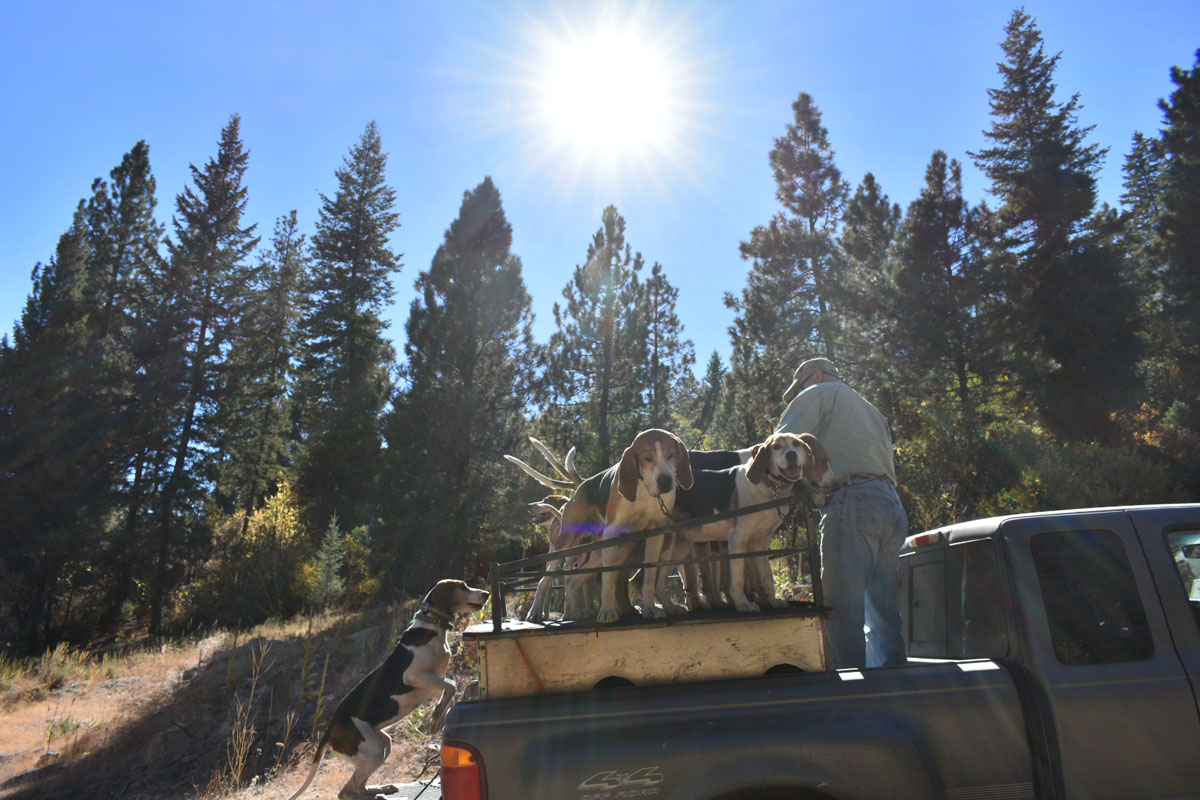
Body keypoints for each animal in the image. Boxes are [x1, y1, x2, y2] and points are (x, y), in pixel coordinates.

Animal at [284, 582, 487, 800]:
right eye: (462, 587)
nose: (486, 593)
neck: (431, 625)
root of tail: (330, 729)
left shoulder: (433, 684)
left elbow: (449, 690)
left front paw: (437, 718)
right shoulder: (414, 676)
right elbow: (451, 684)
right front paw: (436, 716)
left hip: (382, 744)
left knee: (356, 787)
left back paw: (382, 789)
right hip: (373, 749)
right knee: (346, 792)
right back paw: (376, 793)